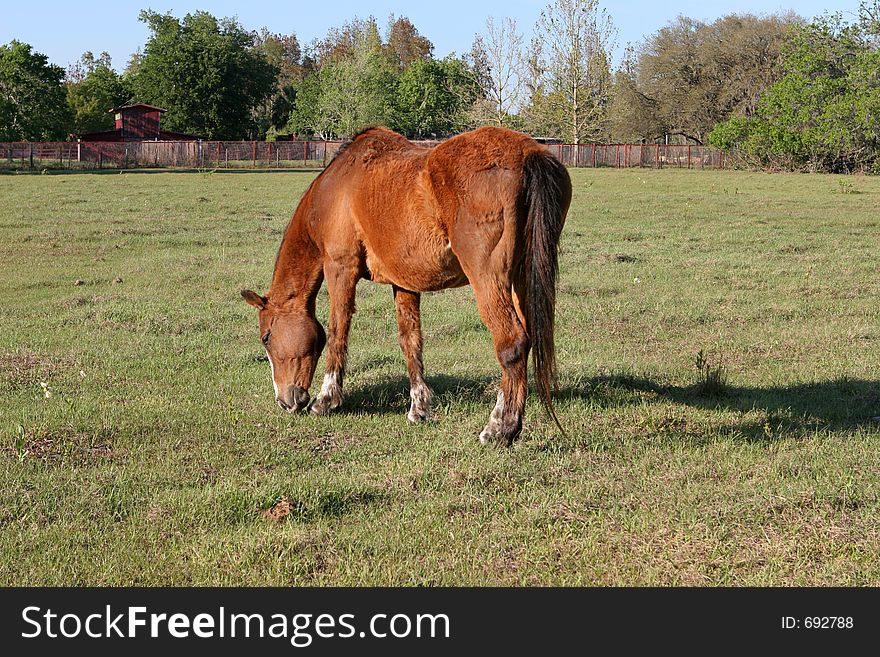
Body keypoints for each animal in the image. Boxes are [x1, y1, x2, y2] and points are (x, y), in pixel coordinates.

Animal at [241, 127, 572, 446]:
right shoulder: (404, 283)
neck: (336, 188)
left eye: (266, 338)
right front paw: (419, 408)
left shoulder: (340, 268)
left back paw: (501, 429)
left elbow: (337, 332)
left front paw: (326, 400)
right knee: (526, 340)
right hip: (521, 278)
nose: (285, 401)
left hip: (489, 279)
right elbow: (410, 340)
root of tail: (528, 153)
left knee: (512, 343)